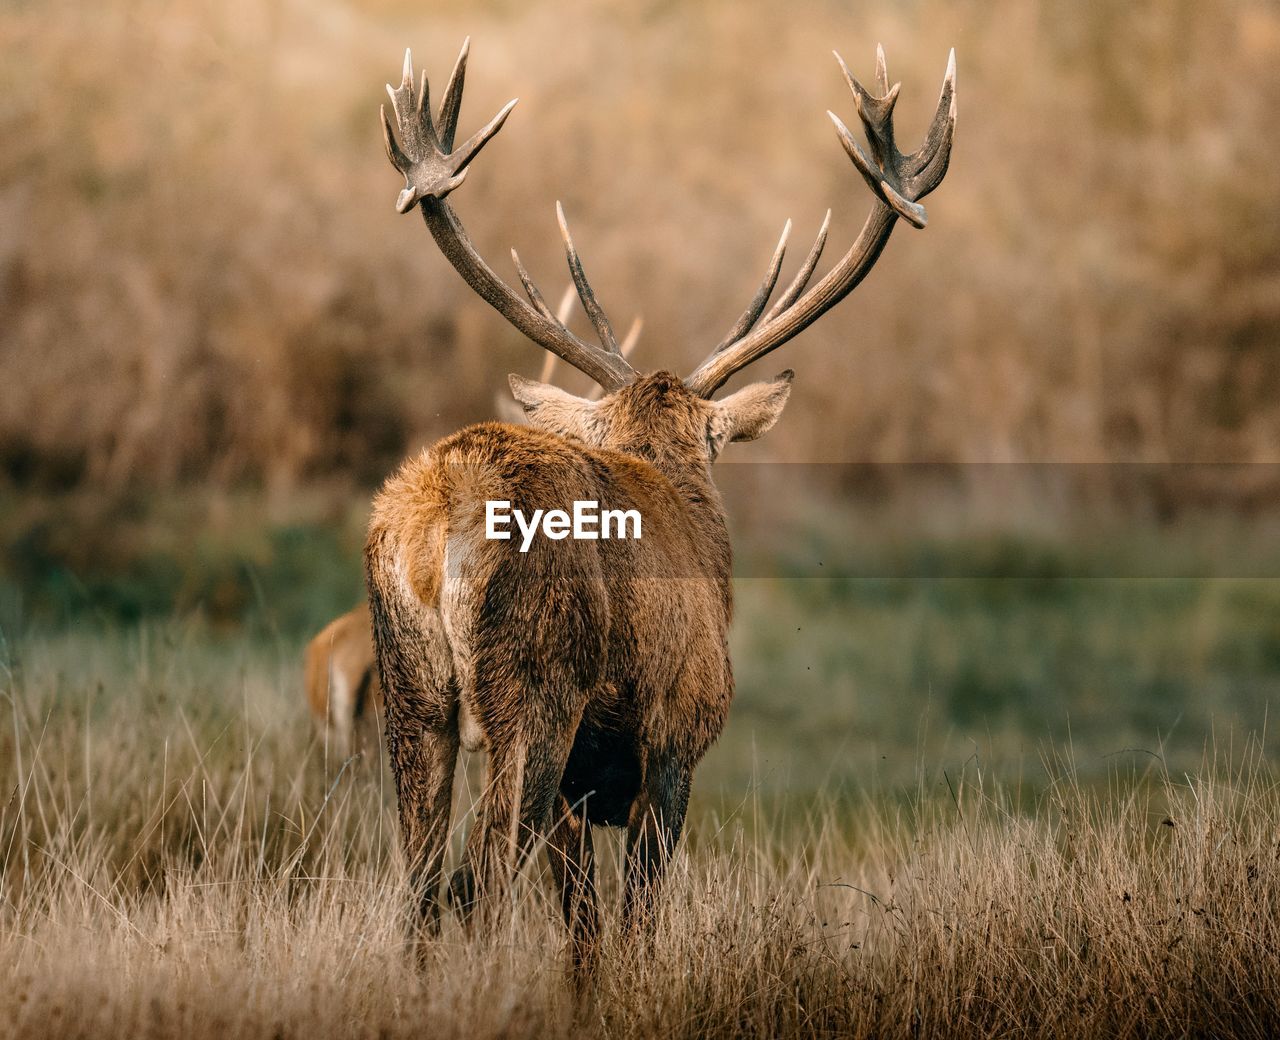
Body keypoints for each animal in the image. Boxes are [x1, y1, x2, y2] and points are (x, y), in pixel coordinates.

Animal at [366, 40, 957, 968]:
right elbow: (636, 920)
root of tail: (443, 511)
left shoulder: (582, 789)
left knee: (421, 890)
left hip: (410, 692)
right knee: (479, 881)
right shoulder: (679, 734)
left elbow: (583, 933)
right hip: (535, 693)